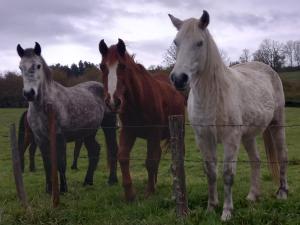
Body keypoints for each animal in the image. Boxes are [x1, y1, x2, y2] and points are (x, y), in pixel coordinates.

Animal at [98, 38, 185, 200]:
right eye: (102, 66)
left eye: (122, 66)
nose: (113, 101)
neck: (139, 101)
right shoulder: (128, 132)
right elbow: (123, 157)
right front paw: (129, 194)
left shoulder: (153, 133)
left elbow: (150, 161)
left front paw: (149, 191)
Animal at [169, 11, 288, 221]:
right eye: (176, 42)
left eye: (200, 43)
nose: (178, 79)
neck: (214, 95)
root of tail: (268, 69)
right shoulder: (203, 138)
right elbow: (210, 172)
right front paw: (211, 207)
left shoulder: (230, 139)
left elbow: (227, 174)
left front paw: (226, 212)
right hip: (248, 136)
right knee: (256, 160)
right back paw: (252, 196)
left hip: (277, 124)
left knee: (282, 156)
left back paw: (282, 193)